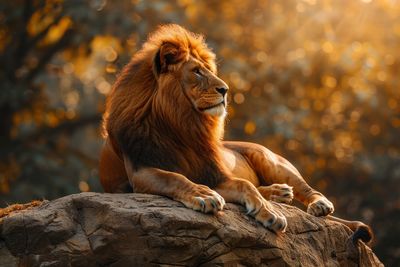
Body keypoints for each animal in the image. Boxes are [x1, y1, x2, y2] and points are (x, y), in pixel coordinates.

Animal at [98, 24, 374, 243]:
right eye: (196, 71)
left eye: (208, 69)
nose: (226, 89)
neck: (181, 123)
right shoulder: (141, 171)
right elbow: (175, 178)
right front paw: (204, 195)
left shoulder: (213, 174)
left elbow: (244, 184)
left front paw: (270, 213)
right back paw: (279, 193)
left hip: (272, 160)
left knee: (305, 188)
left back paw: (314, 203)